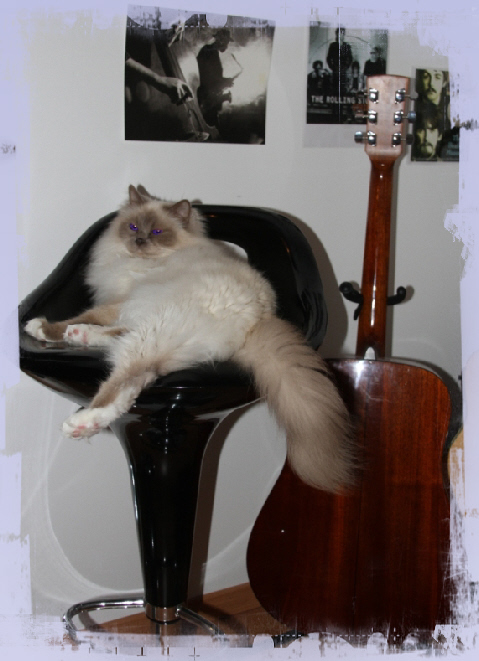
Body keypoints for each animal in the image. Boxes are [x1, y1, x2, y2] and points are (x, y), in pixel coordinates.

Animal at [25, 185, 355, 493]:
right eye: (133, 227)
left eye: (157, 232)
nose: (140, 241)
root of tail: (257, 321)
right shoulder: (126, 304)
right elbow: (100, 324)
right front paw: (68, 331)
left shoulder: (121, 301)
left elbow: (85, 315)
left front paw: (41, 327)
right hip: (158, 329)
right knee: (132, 366)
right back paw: (81, 344)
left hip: (154, 327)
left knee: (128, 377)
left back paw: (81, 422)